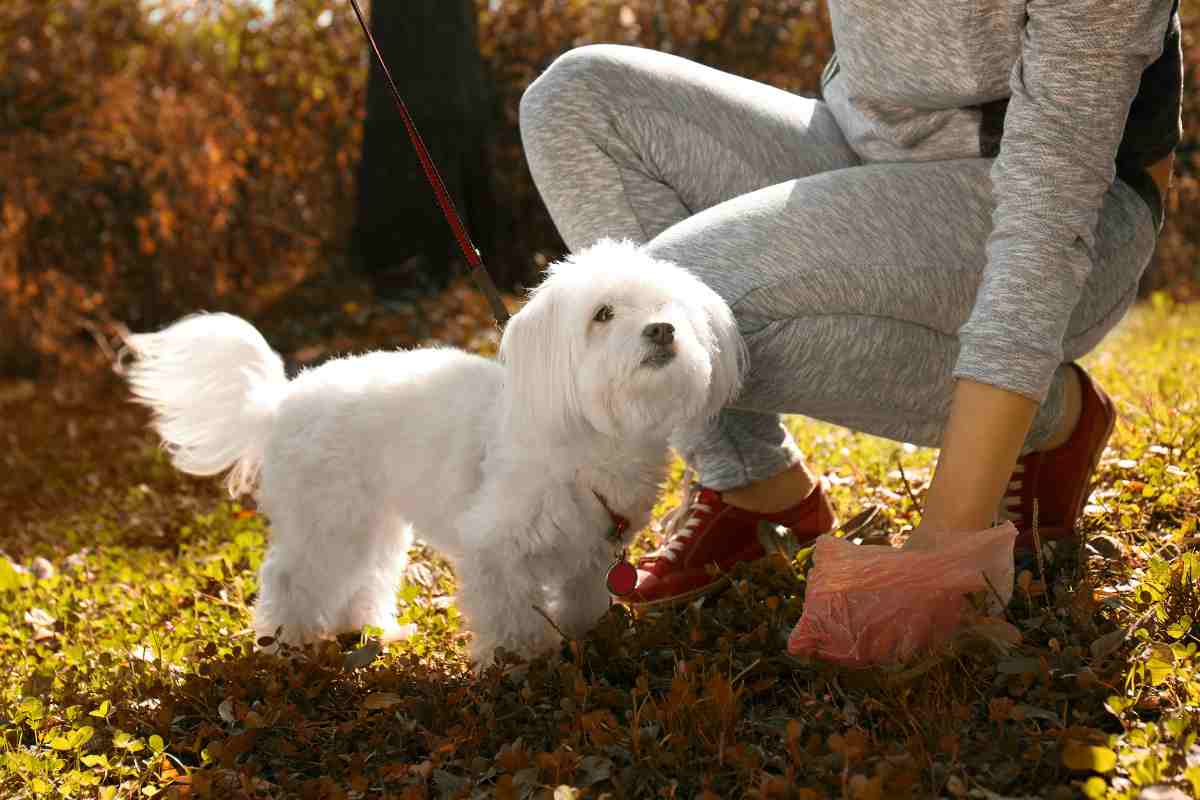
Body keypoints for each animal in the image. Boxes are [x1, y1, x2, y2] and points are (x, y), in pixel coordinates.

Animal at [121, 237, 739, 662]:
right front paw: (520, 660)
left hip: (372, 522)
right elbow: (509, 613)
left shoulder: (591, 553)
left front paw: (583, 636)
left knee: (363, 577)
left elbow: (585, 599)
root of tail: (280, 400)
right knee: (290, 577)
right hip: (327, 519)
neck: (588, 436)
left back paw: (373, 630)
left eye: (670, 307)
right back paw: (286, 643)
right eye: (603, 314)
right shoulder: (495, 547)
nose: (662, 330)